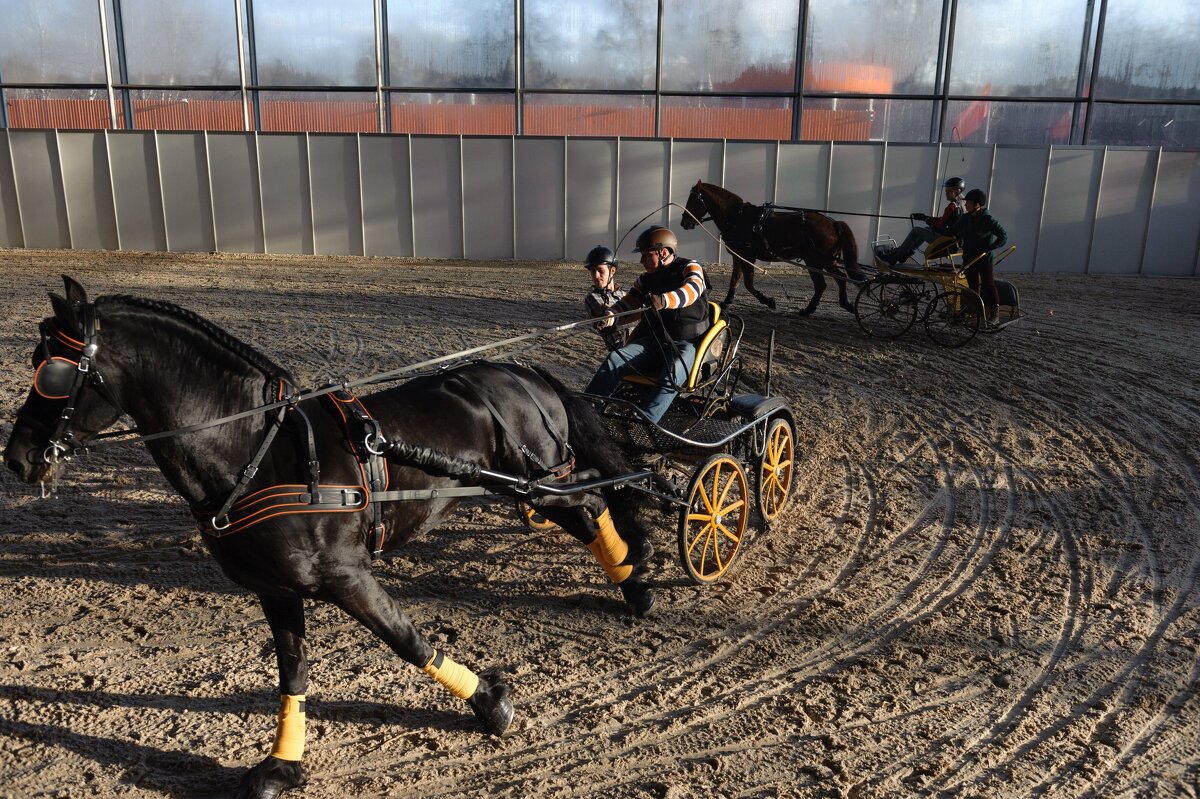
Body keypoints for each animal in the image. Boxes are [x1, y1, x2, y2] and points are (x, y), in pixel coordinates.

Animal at [2, 275, 657, 796]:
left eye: (53, 370)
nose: (17, 457)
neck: (256, 450)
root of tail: (524, 373)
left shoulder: (345, 575)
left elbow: (408, 642)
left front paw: (491, 704)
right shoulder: (276, 588)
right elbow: (291, 672)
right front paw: (282, 765)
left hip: (540, 482)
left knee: (595, 500)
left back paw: (639, 574)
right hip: (530, 487)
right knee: (589, 508)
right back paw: (633, 581)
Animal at [686, 179, 864, 314]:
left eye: (694, 200)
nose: (684, 222)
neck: (737, 217)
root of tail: (833, 223)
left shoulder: (747, 256)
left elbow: (748, 284)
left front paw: (768, 301)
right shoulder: (738, 256)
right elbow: (735, 279)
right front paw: (727, 301)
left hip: (815, 261)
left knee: (822, 285)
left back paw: (808, 310)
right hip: (827, 261)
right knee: (840, 279)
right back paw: (845, 304)